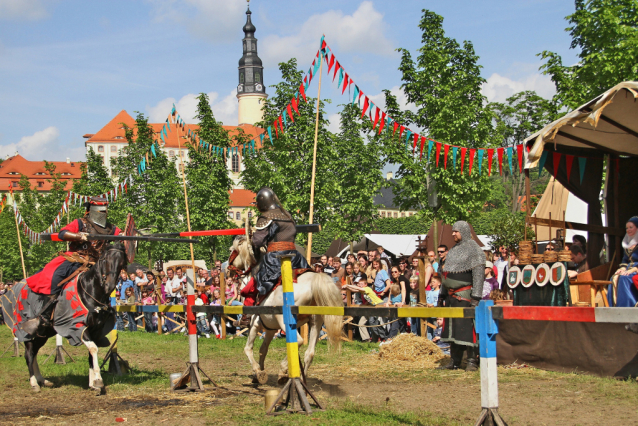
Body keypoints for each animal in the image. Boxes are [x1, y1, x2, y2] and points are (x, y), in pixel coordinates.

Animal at [228, 238, 342, 384]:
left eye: (232, 250)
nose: (228, 271)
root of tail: (313, 281)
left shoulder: (254, 325)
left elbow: (248, 349)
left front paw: (258, 372)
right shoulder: (270, 330)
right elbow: (263, 350)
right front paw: (258, 373)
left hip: (285, 322)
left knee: (299, 341)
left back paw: (283, 371)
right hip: (315, 322)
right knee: (310, 353)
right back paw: (301, 380)